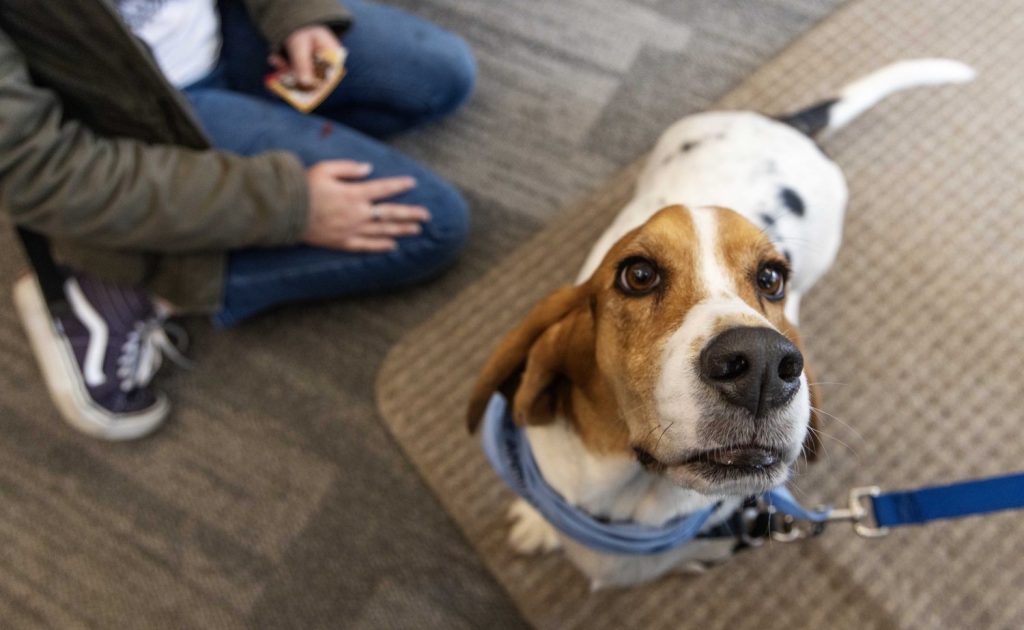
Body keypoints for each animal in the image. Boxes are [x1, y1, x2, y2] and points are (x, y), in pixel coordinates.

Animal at [468, 59, 970, 585]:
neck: (632, 496)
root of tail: (787, 124)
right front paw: (536, 523)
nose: (764, 365)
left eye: (771, 278)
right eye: (638, 274)